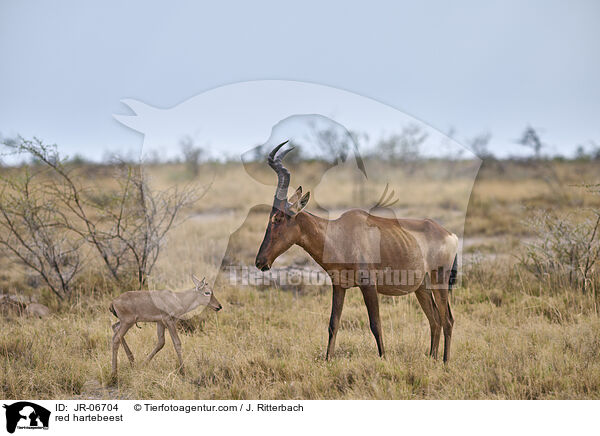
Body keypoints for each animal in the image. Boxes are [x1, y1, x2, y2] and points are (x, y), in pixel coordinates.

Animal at [255, 142, 458, 362]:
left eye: (277, 218)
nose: (260, 262)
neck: (341, 234)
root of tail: (449, 234)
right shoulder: (339, 286)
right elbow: (333, 324)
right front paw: (327, 360)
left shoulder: (368, 285)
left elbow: (375, 324)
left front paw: (383, 359)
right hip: (422, 287)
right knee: (434, 320)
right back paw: (432, 358)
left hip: (440, 281)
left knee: (447, 319)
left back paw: (445, 362)